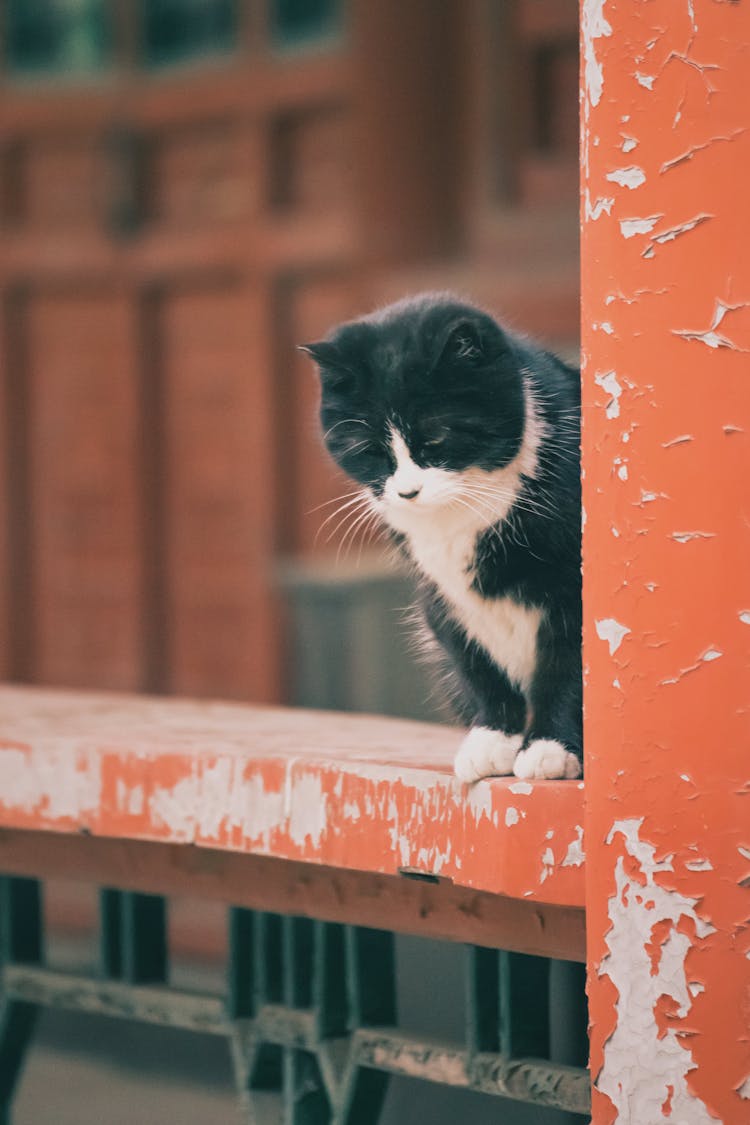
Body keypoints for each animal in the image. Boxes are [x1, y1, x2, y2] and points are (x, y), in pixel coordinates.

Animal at [301, 294, 584, 778]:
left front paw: (551, 746)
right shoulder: (442, 596)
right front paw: (493, 738)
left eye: (435, 437)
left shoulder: (573, 583)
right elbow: (475, 663)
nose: (407, 491)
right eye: (370, 450)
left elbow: (567, 664)